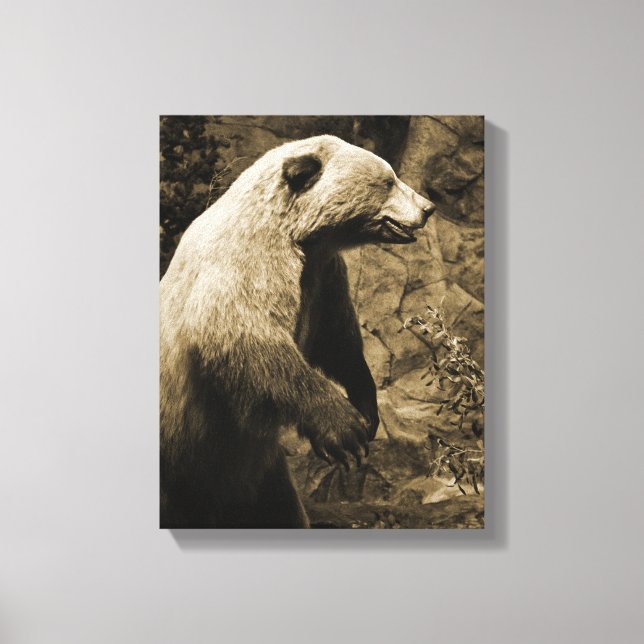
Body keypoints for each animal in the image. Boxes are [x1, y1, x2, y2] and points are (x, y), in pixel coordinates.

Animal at [160, 134, 435, 528]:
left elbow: (336, 341)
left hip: (260, 476)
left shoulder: (323, 277)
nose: (428, 207)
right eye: (388, 180)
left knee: (279, 510)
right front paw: (344, 431)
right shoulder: (247, 260)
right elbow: (247, 335)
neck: (300, 235)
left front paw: (367, 410)